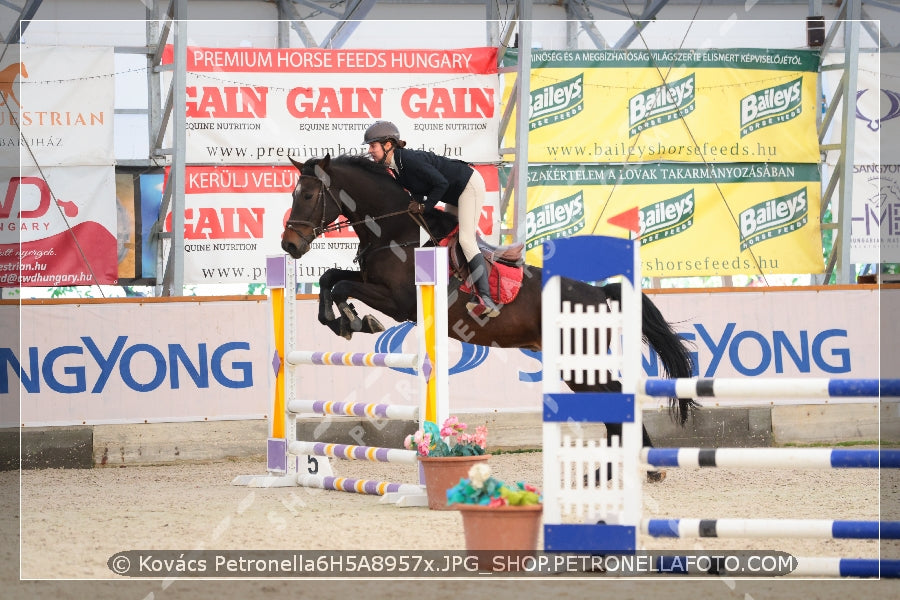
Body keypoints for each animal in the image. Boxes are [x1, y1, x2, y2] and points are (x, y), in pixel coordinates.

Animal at [282, 155, 696, 454]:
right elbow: (330, 279)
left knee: (614, 395)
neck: (395, 232)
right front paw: (341, 321)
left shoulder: (399, 301)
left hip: (578, 359)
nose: (289, 245)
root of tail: (599, 293)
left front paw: (355, 321)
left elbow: (341, 286)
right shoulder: (371, 281)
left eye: (307, 195)